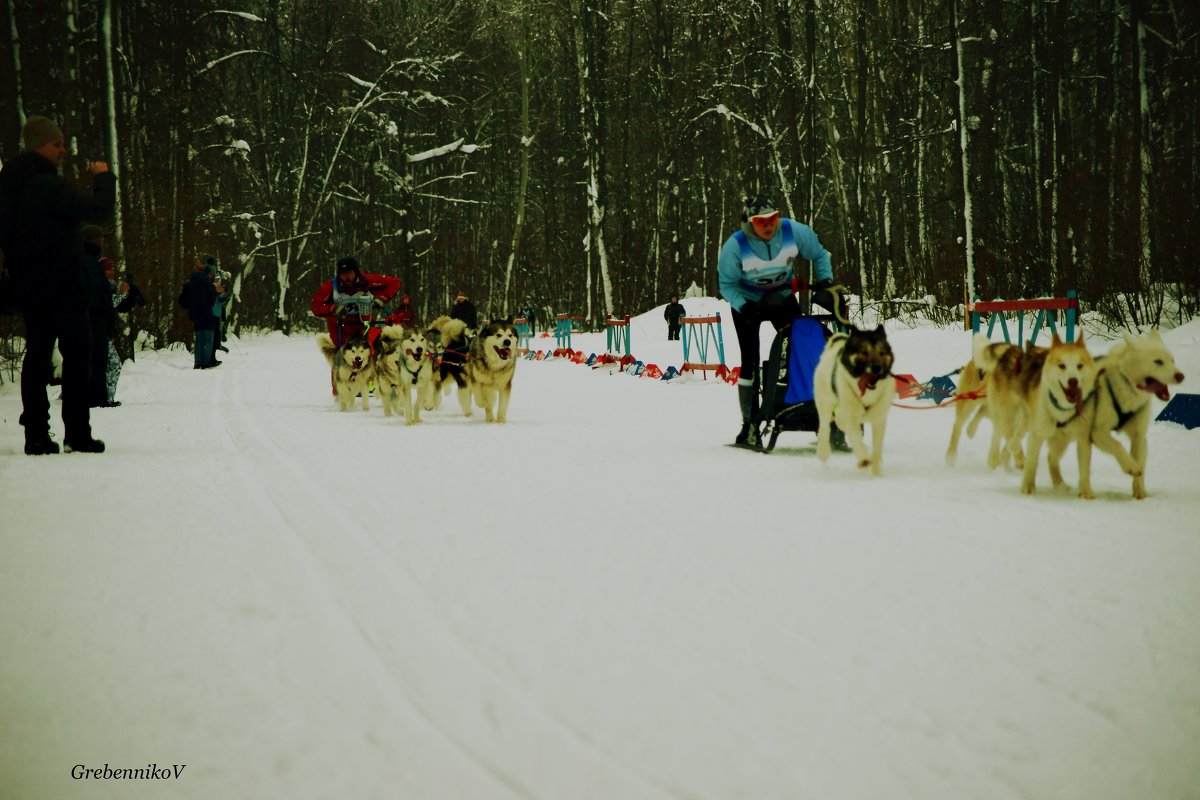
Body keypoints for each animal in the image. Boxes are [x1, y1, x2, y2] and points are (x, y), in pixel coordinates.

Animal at [811, 326, 897, 474]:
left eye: (881, 353)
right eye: (864, 352)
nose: (876, 368)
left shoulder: (879, 420)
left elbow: (877, 449)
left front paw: (876, 471)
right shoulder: (850, 418)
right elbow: (857, 440)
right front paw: (864, 460)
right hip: (826, 403)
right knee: (825, 427)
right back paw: (823, 451)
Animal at [1084, 328, 1185, 496]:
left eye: (1172, 360)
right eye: (1158, 361)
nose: (1180, 376)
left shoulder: (1139, 437)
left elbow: (1140, 464)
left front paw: (1140, 492)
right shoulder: (1098, 432)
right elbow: (1117, 445)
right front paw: (1130, 466)